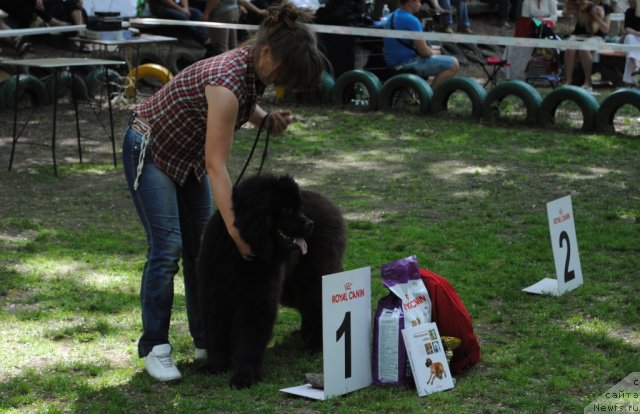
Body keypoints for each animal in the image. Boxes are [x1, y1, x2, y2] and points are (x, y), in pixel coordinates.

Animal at [196, 174, 348, 388]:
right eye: (286, 209)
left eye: (298, 208)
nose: (310, 223)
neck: (239, 253)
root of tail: (328, 203)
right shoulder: (214, 296)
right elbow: (216, 334)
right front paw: (215, 366)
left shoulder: (257, 302)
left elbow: (248, 339)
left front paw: (244, 376)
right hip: (291, 286)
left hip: (313, 277)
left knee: (316, 305)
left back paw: (316, 345)